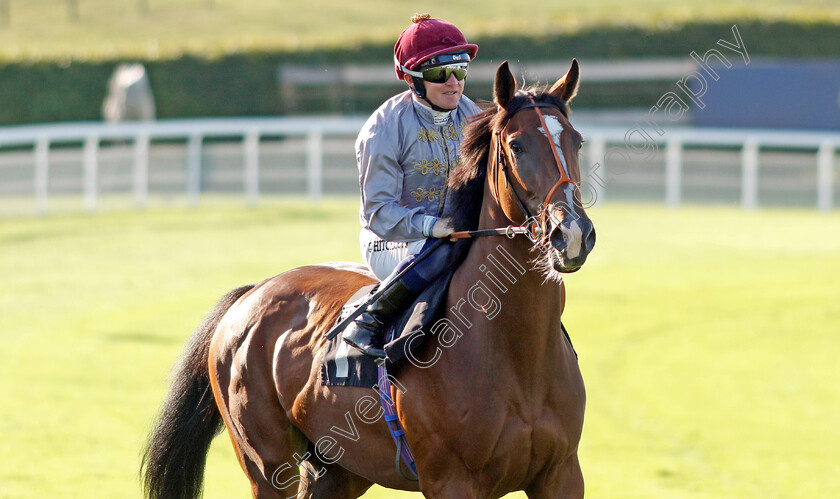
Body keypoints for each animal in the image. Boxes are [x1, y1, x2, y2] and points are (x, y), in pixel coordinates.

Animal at [139, 59, 596, 499]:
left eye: (576, 140)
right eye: (516, 145)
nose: (571, 234)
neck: (515, 353)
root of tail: (250, 295)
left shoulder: (561, 475)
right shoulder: (452, 480)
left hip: (337, 469)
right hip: (266, 467)